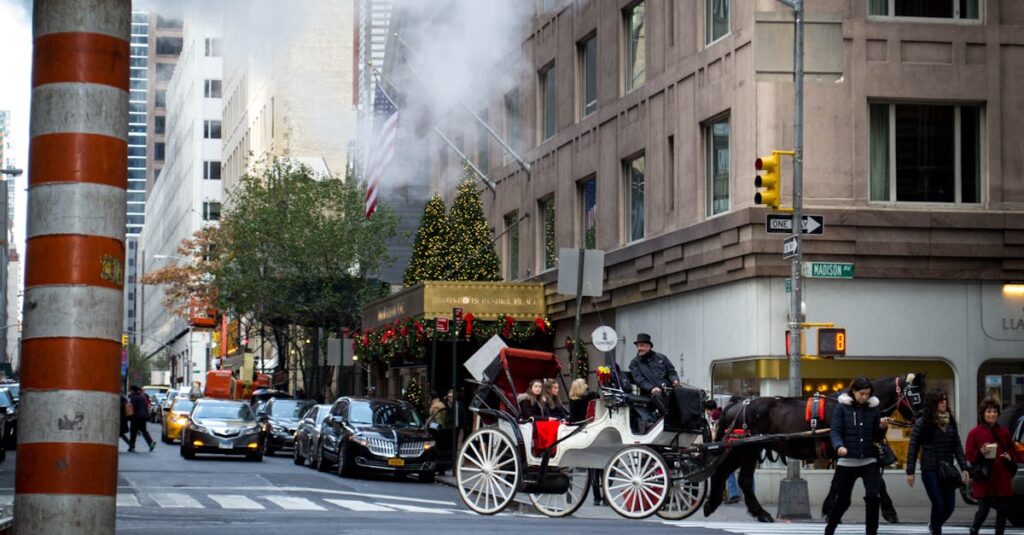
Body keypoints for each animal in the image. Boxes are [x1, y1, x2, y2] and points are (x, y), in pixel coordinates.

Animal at [704, 371, 929, 520]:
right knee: (743, 479)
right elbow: (861, 481)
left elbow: (850, 480)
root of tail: (736, 405)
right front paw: (888, 511)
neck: (858, 407)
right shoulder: (848, 451)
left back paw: (712, 503)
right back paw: (760, 513)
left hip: (740, 449)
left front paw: (830, 507)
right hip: (750, 448)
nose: (924, 419)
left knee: (723, 472)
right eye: (916, 395)